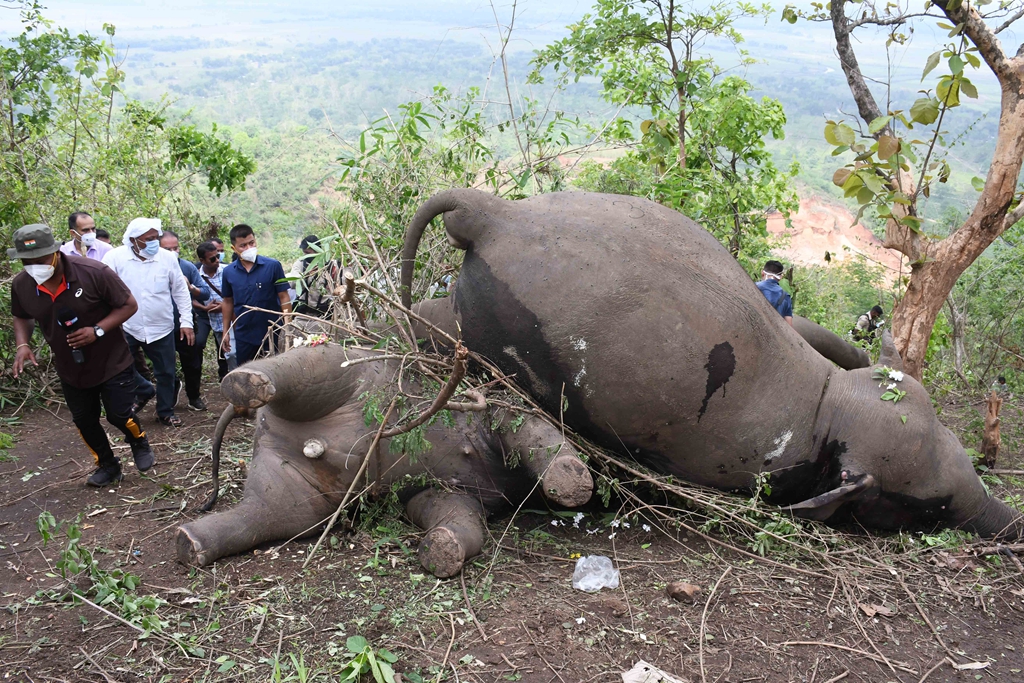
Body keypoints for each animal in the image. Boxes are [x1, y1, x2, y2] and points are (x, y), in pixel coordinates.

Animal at [176, 344, 593, 573]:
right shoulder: (500, 410)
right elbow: (534, 432)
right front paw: (574, 482)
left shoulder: (453, 493)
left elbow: (453, 516)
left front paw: (442, 550)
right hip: (341, 370)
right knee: (314, 363)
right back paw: (245, 383)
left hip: (294, 491)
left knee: (269, 515)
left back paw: (188, 543)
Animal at [399, 188, 1024, 540]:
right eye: (930, 507)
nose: (1009, 526)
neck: (830, 407)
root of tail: (494, 215)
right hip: (503, 332)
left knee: (430, 321)